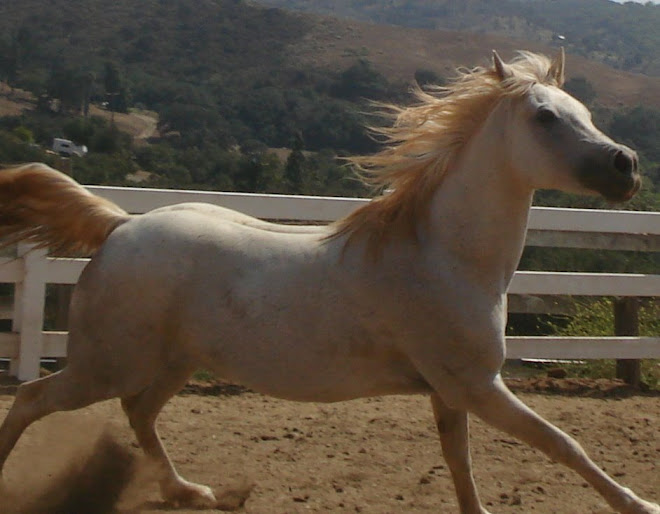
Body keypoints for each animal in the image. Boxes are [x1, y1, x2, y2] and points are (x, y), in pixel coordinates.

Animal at [0, 50, 656, 514]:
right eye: (545, 116)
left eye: (585, 111)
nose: (626, 166)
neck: (444, 257)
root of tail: (120, 227)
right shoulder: (475, 385)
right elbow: (562, 444)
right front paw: (642, 504)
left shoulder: (451, 392)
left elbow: (462, 465)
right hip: (106, 363)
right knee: (33, 400)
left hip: (170, 362)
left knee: (139, 414)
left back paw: (192, 492)